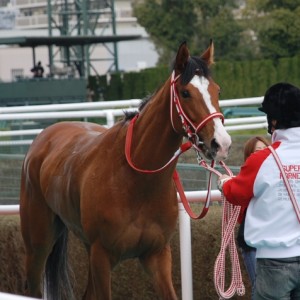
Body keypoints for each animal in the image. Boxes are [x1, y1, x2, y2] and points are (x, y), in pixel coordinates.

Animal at [19, 41, 232, 298]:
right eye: (185, 93)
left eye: (218, 91)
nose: (221, 143)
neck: (136, 181)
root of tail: (45, 136)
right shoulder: (102, 256)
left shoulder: (157, 255)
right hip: (38, 244)